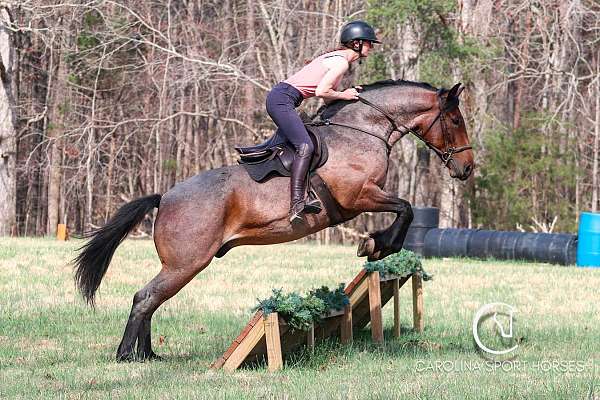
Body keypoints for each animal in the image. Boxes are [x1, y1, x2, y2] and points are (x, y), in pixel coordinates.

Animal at [72, 79, 474, 362]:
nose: (467, 168)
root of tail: (165, 197)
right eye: (455, 120)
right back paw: (127, 355)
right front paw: (376, 245)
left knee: (151, 299)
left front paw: (375, 244)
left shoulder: (363, 198)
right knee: (145, 297)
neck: (363, 130)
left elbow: (405, 208)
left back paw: (149, 355)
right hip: (187, 262)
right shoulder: (358, 197)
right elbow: (405, 208)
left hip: (182, 265)